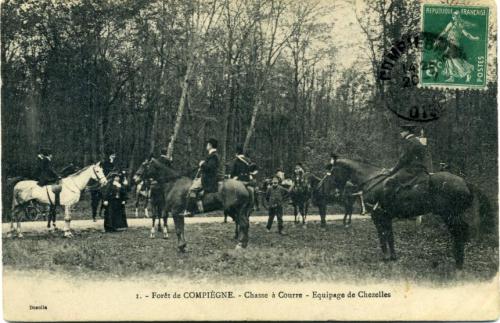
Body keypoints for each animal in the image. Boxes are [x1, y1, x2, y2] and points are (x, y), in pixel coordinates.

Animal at [328, 159, 492, 268]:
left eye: (332, 171)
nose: (334, 193)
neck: (370, 179)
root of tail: (465, 183)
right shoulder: (386, 217)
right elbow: (390, 236)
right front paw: (393, 256)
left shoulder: (378, 216)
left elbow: (382, 235)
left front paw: (386, 256)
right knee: (460, 232)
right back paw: (458, 260)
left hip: (449, 215)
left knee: (459, 231)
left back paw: (458, 262)